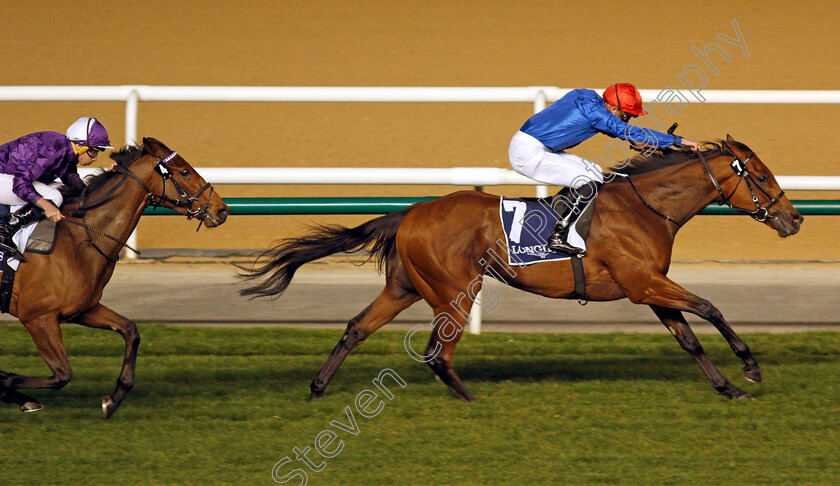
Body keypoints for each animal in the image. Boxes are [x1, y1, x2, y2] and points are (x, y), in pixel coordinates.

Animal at [0, 138, 230, 418]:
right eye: (185, 171)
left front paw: (114, 398)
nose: (222, 210)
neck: (78, 239)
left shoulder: (82, 309)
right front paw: (9, 386)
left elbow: (131, 331)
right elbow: (62, 374)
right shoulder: (37, 317)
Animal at [240, 136, 804, 402]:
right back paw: (470, 399)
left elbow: (689, 338)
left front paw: (728, 386)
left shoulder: (646, 287)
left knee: (357, 328)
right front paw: (750, 368)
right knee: (436, 351)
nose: (794, 217)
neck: (646, 206)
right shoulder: (646, 282)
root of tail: (411, 212)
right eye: (759, 175)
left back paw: (318, 387)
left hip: (405, 287)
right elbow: (711, 307)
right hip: (455, 288)